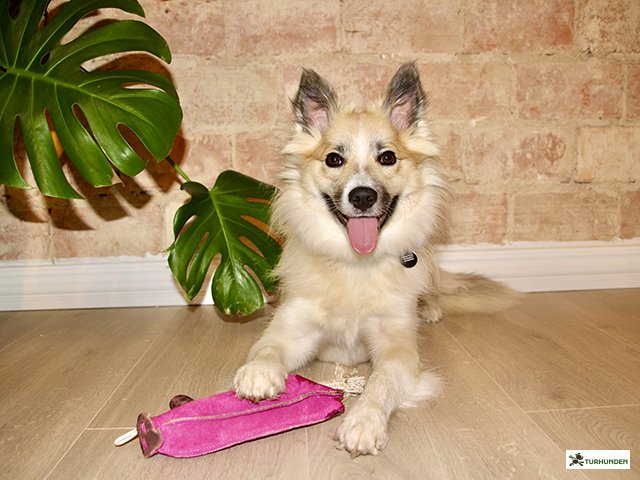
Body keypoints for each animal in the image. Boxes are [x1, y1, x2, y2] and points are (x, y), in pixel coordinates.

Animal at [233, 63, 519, 457]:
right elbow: (266, 348)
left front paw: (364, 421)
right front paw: (259, 373)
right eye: (334, 159)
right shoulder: (294, 328)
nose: (363, 197)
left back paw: (429, 309)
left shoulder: (397, 348)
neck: (356, 265)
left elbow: (381, 382)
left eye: (387, 158)